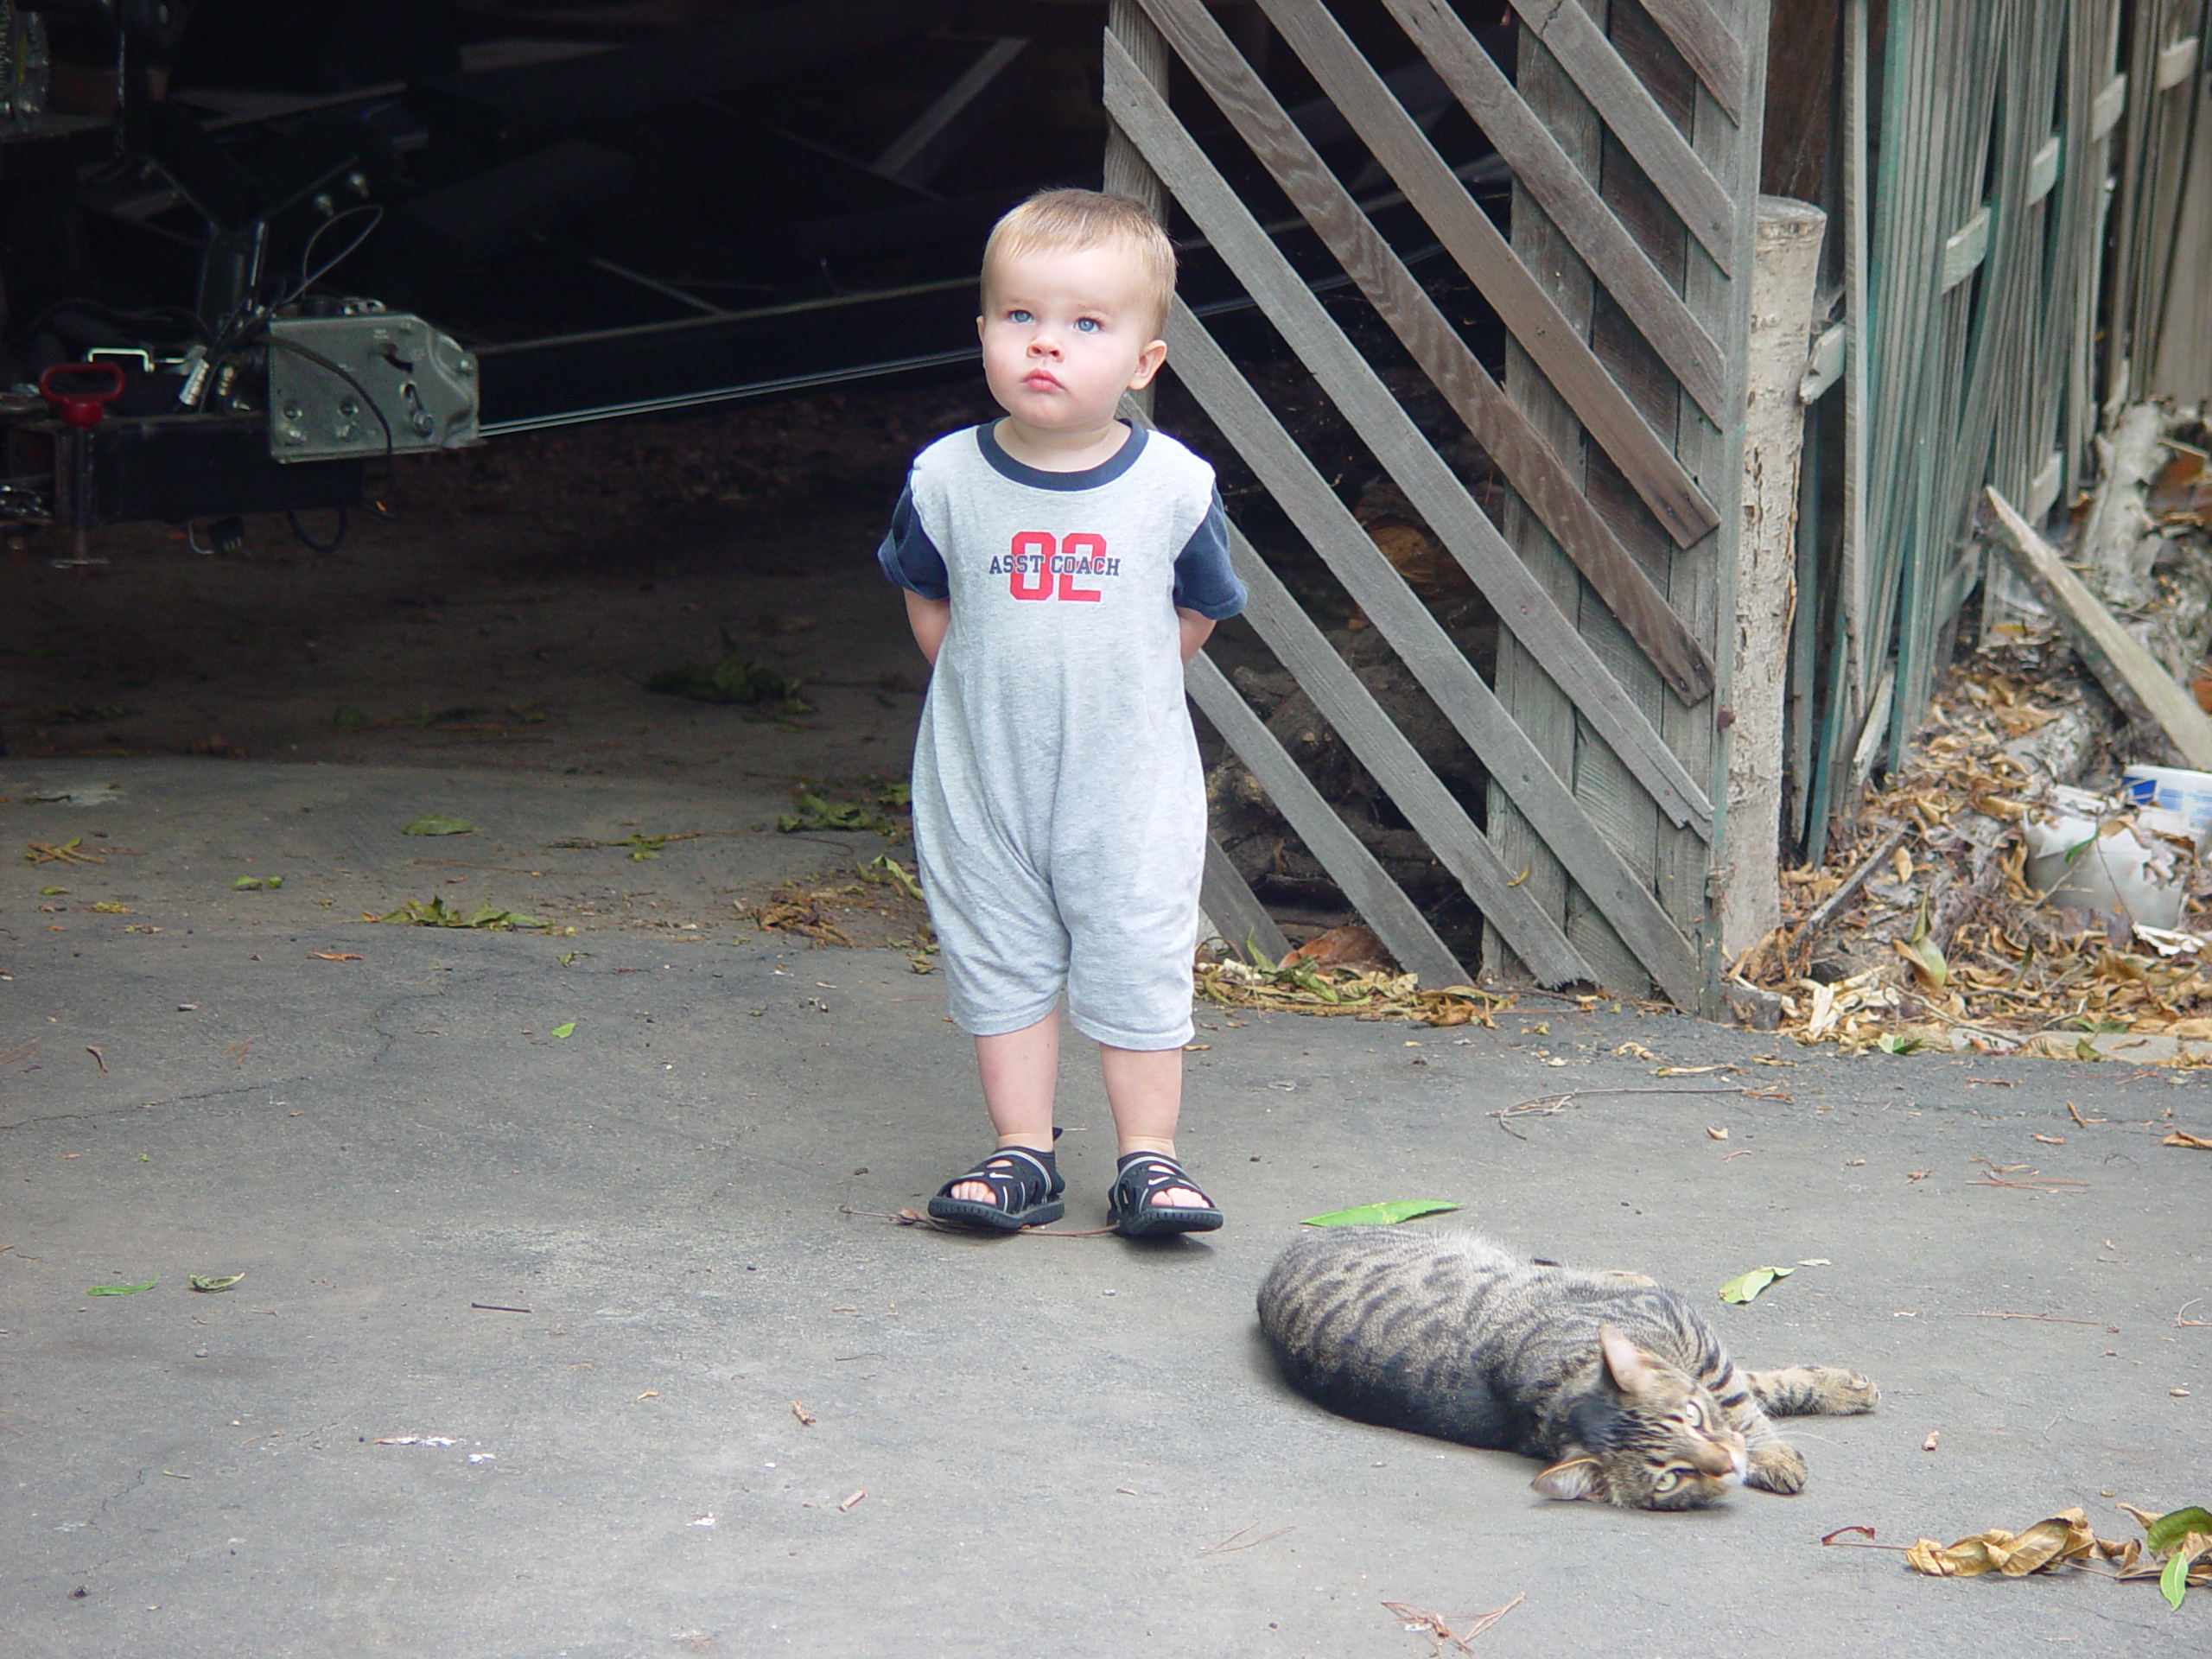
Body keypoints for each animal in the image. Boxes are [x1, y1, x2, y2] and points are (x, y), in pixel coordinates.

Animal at [1256, 1230, 1875, 1513]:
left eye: (1693, 1418)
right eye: (1671, 1478)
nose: (1728, 1465)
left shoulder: (1694, 1339)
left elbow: (1741, 1399)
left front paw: (1779, 1443)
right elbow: (1748, 1393)